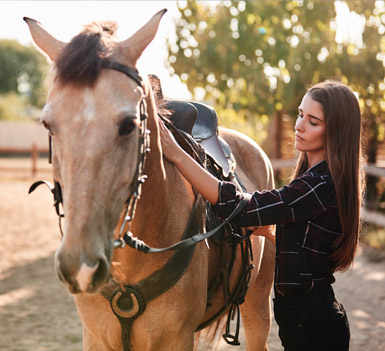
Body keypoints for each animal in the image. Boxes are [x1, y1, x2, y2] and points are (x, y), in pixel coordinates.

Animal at [24, 9, 274, 350]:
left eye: (129, 125)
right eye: (48, 124)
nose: (81, 266)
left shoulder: (177, 339)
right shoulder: (95, 337)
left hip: (258, 305)